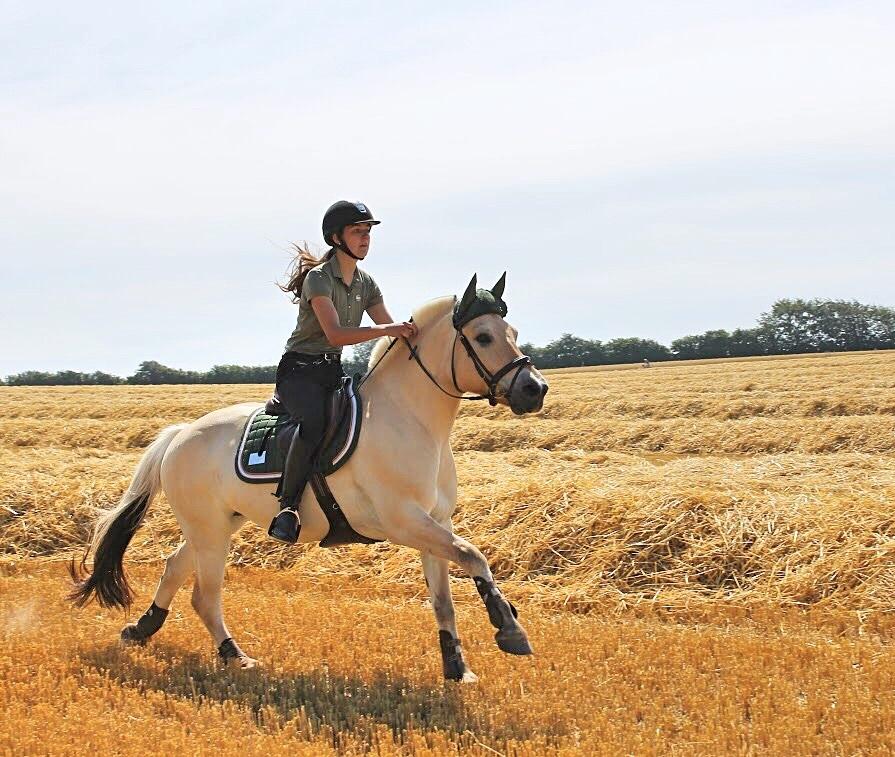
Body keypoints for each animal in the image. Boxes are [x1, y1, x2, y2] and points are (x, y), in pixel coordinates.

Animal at [72, 274, 544, 684]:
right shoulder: (404, 522)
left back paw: (141, 629)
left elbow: (444, 599)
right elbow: (473, 556)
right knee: (204, 595)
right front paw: (509, 628)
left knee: (174, 569)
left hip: (218, 525)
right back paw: (235, 656)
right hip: (209, 530)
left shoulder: (435, 523)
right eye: (483, 337)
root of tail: (181, 434)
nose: (535, 389)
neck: (410, 418)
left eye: (514, 331)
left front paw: (457, 668)